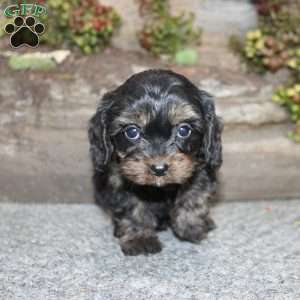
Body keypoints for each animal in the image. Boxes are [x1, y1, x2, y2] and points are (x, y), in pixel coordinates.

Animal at [88, 69, 221, 255]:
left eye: (184, 130)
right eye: (132, 132)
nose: (159, 168)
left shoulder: (201, 169)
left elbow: (193, 196)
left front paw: (190, 227)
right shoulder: (117, 178)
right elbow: (133, 207)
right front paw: (140, 238)